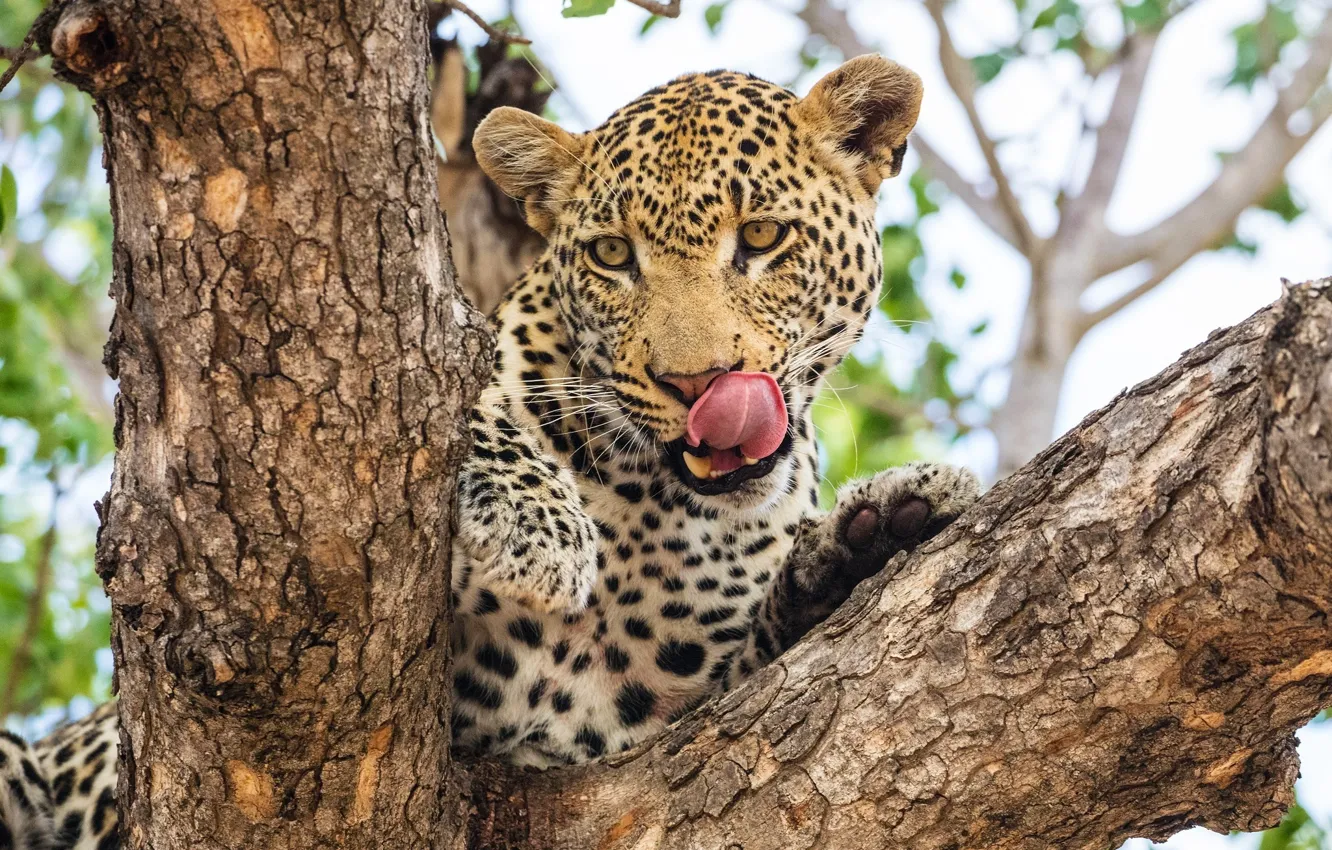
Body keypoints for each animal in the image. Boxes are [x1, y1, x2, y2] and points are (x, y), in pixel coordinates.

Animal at [0, 54, 980, 843]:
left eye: (765, 237)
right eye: (614, 255)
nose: (697, 383)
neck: (654, 509)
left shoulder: (663, 709)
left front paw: (879, 529)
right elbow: (456, 392)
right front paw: (534, 526)